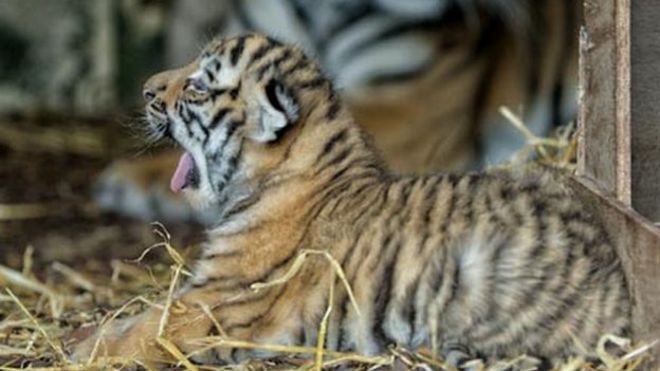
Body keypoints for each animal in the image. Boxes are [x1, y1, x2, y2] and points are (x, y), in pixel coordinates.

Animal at [73, 33, 628, 368]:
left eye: (197, 86)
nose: (147, 90)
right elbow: (134, 319)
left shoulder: (219, 301)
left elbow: (143, 329)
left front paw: (81, 348)